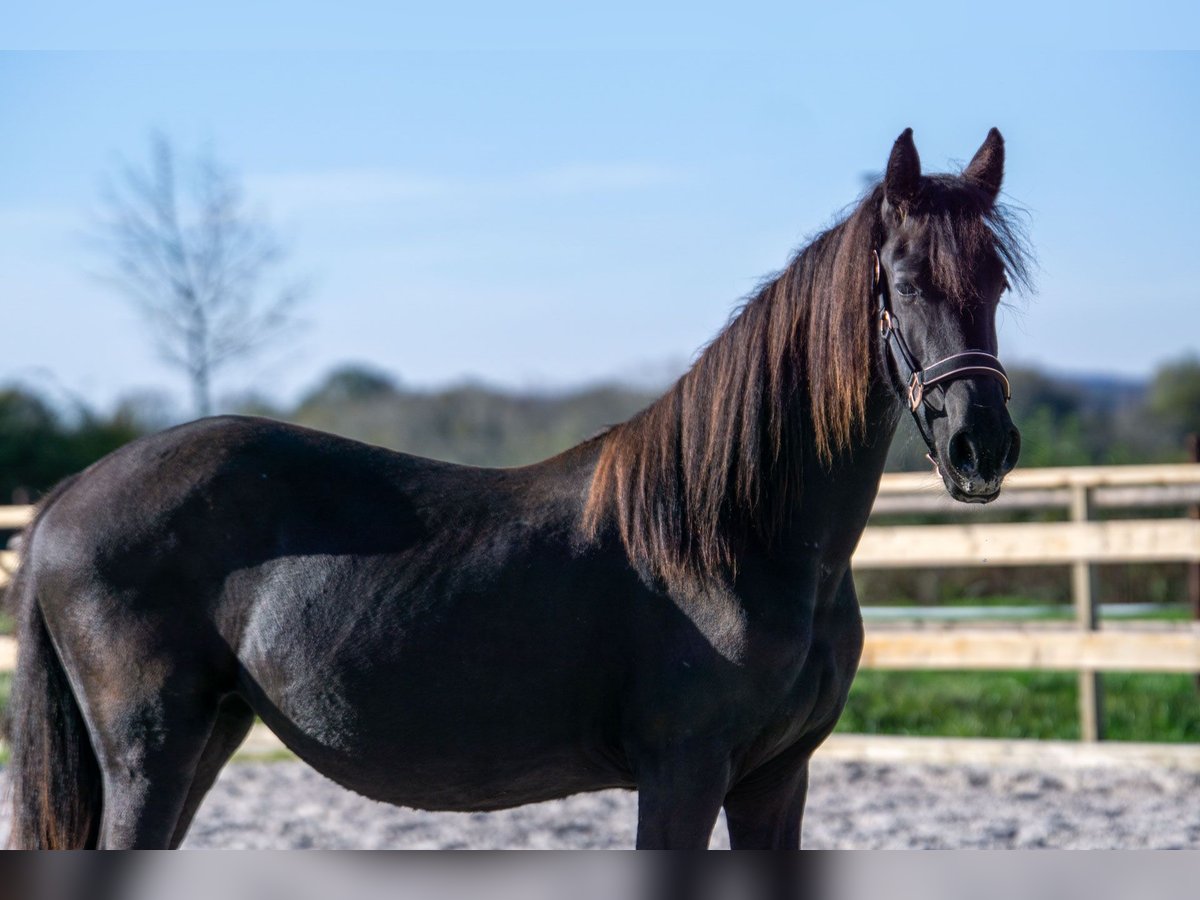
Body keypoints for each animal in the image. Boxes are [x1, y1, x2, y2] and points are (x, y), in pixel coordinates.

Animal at [4, 128, 1032, 854]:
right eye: (904, 282)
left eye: (995, 282)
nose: (980, 445)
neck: (740, 541)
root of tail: (65, 499)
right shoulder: (684, 773)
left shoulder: (776, 780)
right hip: (150, 752)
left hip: (206, 736)